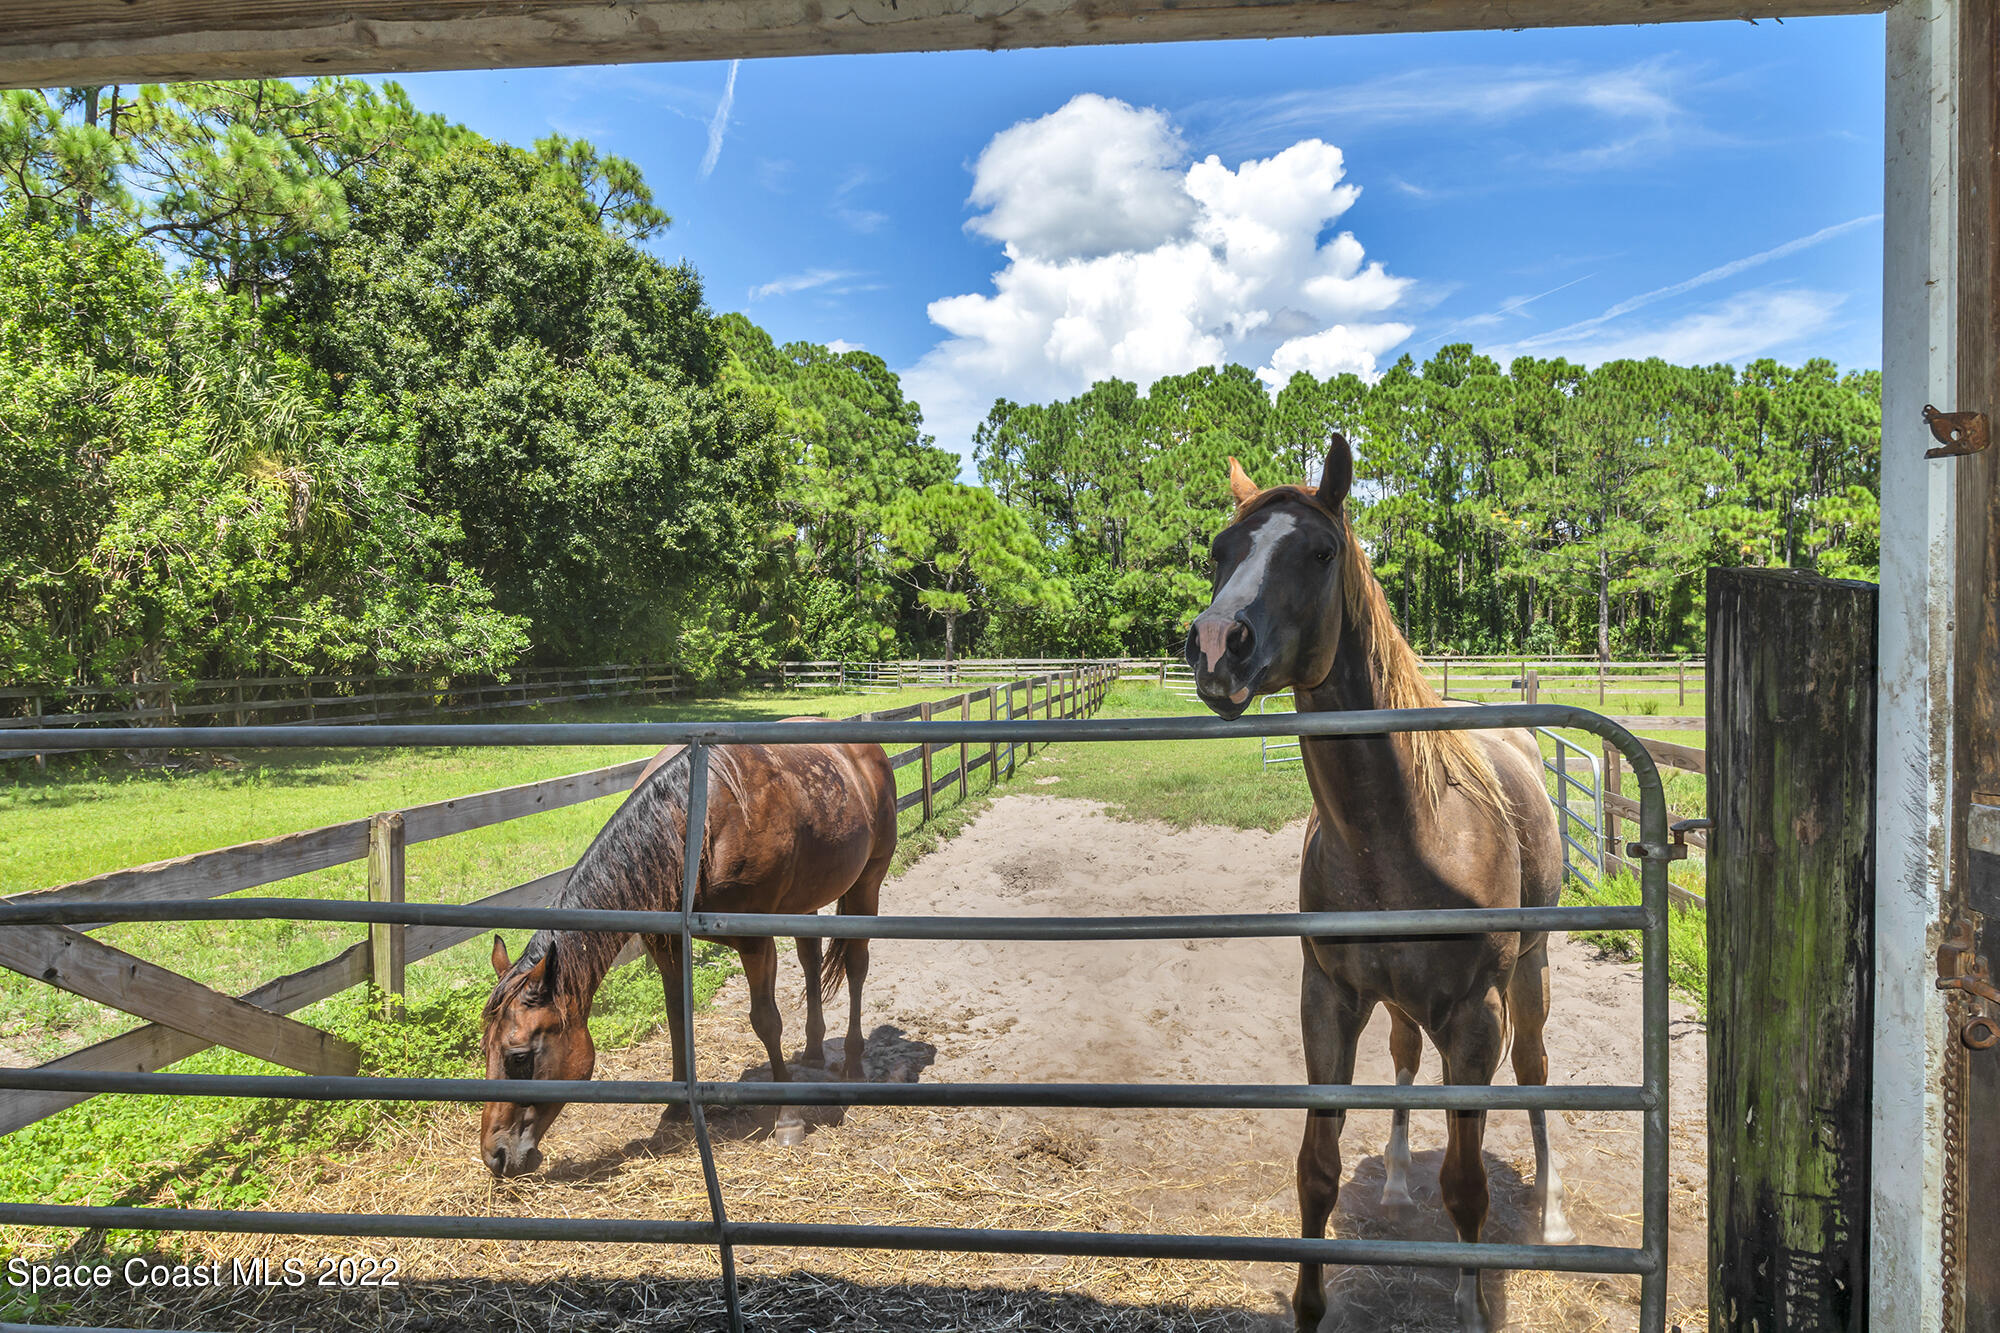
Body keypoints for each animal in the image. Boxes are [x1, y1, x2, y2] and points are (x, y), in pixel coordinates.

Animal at [479, 731, 897, 1177]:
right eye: (485, 1050)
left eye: (519, 1058)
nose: (495, 1155)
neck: (695, 826)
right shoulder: (667, 944)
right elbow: (677, 1016)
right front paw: (675, 1111)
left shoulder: (755, 941)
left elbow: (766, 1022)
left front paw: (787, 1118)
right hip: (805, 902)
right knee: (810, 959)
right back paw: (816, 1050)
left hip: (868, 880)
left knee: (856, 965)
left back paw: (854, 1064)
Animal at [1185, 438, 1571, 1333]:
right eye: (1221, 551)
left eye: (1321, 552)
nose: (1219, 644)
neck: (1404, 834)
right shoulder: (1328, 999)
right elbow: (1317, 1167)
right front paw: (1309, 1304)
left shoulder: (1476, 1018)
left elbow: (1466, 1184)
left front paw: (1471, 1302)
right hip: (1400, 1004)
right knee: (1402, 1061)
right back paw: (1395, 1180)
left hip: (1530, 978)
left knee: (1535, 1071)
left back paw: (1551, 1210)